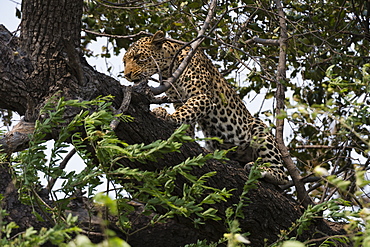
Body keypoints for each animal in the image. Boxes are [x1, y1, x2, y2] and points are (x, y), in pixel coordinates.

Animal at [123, 30, 290, 184]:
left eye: (138, 57)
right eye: (125, 62)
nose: (127, 75)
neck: (168, 67)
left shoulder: (203, 96)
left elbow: (186, 111)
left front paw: (166, 115)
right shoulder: (178, 99)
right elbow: (187, 117)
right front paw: (185, 134)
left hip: (259, 128)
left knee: (283, 176)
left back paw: (261, 169)